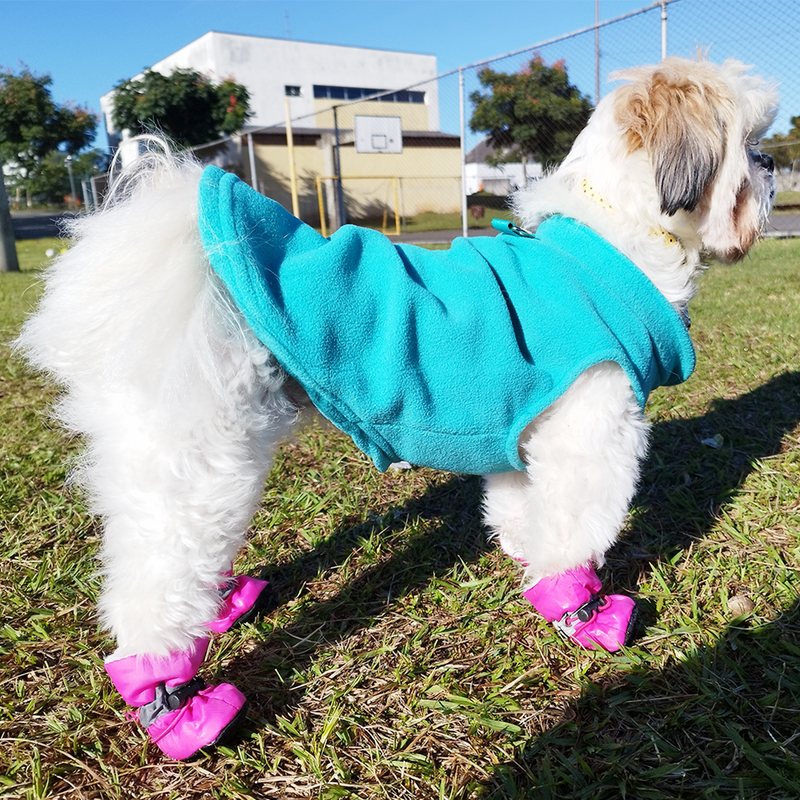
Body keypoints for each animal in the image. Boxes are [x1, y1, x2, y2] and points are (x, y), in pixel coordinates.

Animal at [15, 56, 780, 756]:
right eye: (748, 143)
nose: (773, 162)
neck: (610, 242)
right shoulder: (591, 435)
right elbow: (573, 535)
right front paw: (586, 612)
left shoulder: (522, 438)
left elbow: (521, 518)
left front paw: (539, 583)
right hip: (202, 451)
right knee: (154, 580)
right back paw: (175, 704)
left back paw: (223, 605)